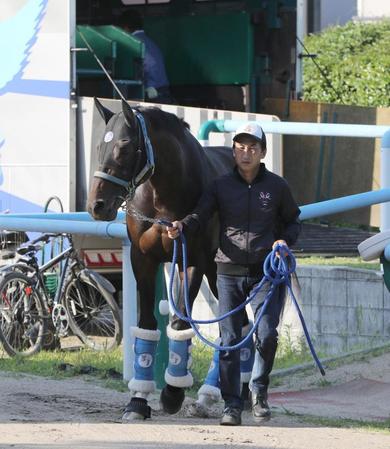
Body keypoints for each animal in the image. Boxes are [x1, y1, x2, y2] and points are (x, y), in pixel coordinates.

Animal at [86, 97, 233, 416]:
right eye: (100, 146)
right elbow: (146, 324)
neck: (164, 196)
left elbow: (179, 324)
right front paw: (138, 399)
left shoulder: (193, 261)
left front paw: (172, 394)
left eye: (125, 146)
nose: (97, 205)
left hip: (223, 272)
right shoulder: (143, 259)